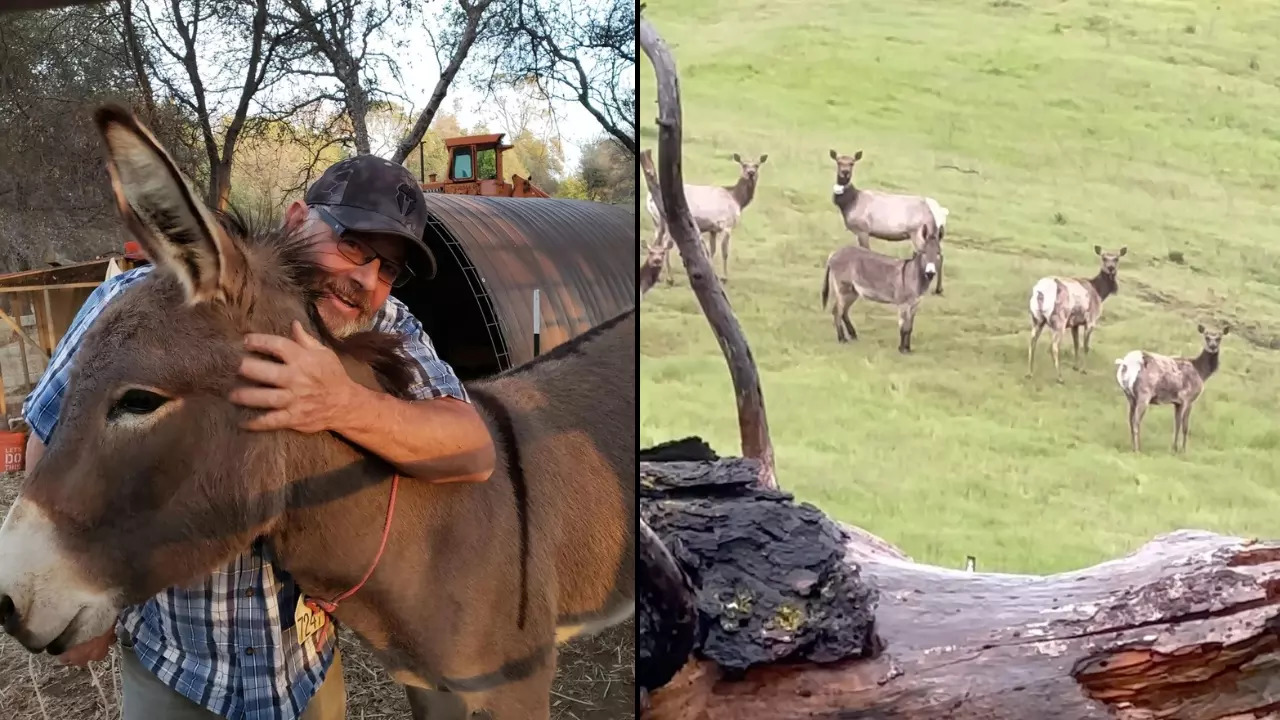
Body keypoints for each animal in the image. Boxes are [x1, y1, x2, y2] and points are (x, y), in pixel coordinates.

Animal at [645, 151, 762, 283]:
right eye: (744, 165)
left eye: (757, 165)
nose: (751, 173)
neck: (737, 199)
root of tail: (649, 198)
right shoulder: (727, 224)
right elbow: (724, 252)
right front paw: (724, 277)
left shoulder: (713, 229)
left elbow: (712, 251)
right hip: (668, 220)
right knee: (665, 243)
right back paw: (670, 278)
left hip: (657, 221)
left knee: (656, 241)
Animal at [829, 147, 952, 293]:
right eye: (838, 162)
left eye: (852, 163)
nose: (845, 172)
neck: (850, 203)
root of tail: (941, 212)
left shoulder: (863, 229)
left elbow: (866, 250)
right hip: (934, 233)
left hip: (919, 232)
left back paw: (937, 288)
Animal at [1024, 243, 1126, 381]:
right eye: (1104, 258)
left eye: (1116, 258)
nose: (1111, 268)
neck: (1100, 292)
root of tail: (1040, 292)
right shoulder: (1090, 321)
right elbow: (1086, 346)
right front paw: (1083, 370)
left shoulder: (1075, 324)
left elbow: (1076, 344)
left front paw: (1076, 367)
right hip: (1059, 321)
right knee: (1054, 346)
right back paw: (1059, 377)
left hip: (1037, 319)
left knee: (1032, 342)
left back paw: (1029, 373)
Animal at [1111, 322, 1228, 450]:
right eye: (1206, 337)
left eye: (1219, 337)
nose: (1212, 346)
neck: (1201, 372)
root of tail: (1126, 363)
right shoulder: (1187, 398)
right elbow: (1184, 426)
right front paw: (1182, 450)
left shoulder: (1177, 402)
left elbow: (1176, 424)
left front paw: (1175, 448)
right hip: (1144, 392)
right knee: (1136, 421)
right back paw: (1138, 449)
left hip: (1129, 395)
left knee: (1130, 420)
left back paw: (1133, 447)